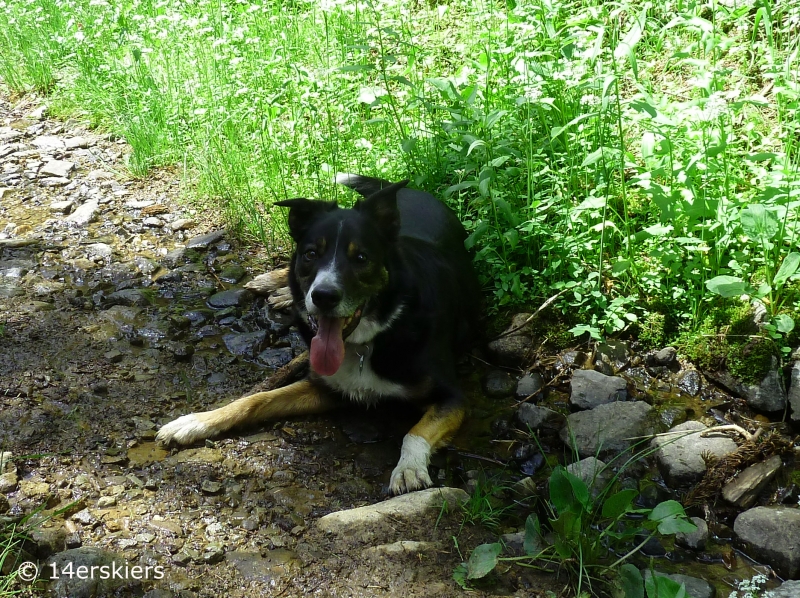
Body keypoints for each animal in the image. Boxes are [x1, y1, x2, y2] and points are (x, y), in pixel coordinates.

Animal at [159, 175, 478, 496]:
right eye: (311, 254)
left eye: (361, 258)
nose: (323, 296)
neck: (365, 344)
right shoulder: (324, 387)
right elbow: (254, 400)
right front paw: (194, 422)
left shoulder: (453, 398)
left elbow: (414, 433)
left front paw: (409, 468)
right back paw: (275, 286)